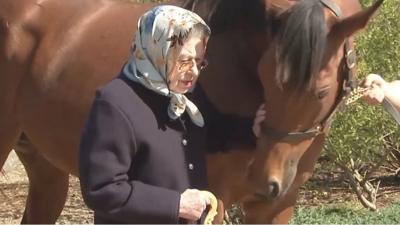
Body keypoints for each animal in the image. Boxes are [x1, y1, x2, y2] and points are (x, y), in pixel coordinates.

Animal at [0, 0, 382, 223]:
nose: (265, 180)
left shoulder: (276, 206)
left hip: (44, 164)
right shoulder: (212, 198)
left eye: (320, 91)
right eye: (264, 77)